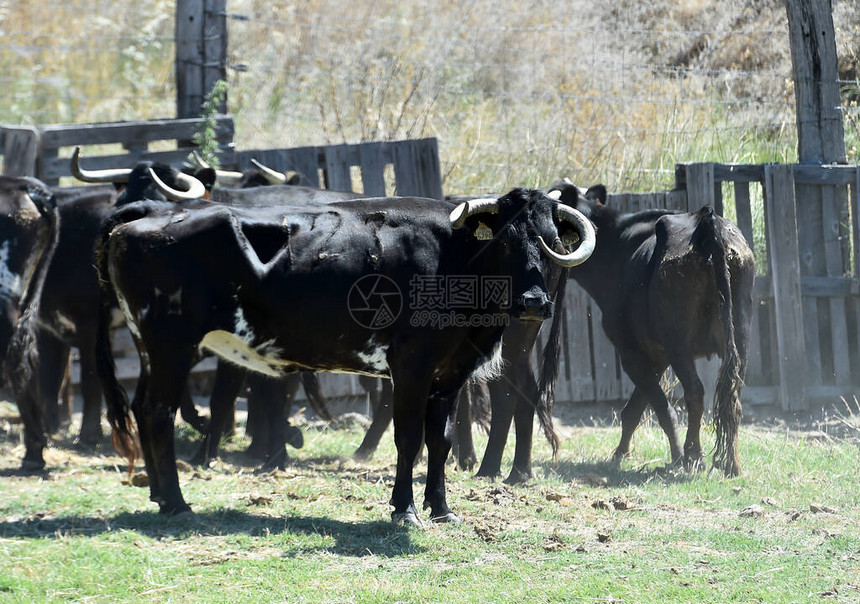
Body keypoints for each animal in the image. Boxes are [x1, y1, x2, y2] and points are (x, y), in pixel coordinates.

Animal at [92, 189, 592, 524]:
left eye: (552, 241)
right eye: (503, 240)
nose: (533, 301)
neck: (454, 257)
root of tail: (150, 212)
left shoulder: (450, 372)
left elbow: (442, 439)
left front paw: (441, 508)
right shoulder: (410, 366)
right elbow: (408, 438)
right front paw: (405, 510)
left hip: (151, 349)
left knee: (142, 407)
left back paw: (159, 495)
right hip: (171, 347)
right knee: (158, 412)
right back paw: (177, 503)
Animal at [552, 182, 752, 474]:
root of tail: (706, 219)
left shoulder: (632, 355)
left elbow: (658, 407)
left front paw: (676, 456)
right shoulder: (657, 356)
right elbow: (635, 409)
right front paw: (621, 453)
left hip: (679, 345)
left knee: (695, 392)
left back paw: (693, 455)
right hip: (739, 336)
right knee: (732, 392)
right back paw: (731, 462)